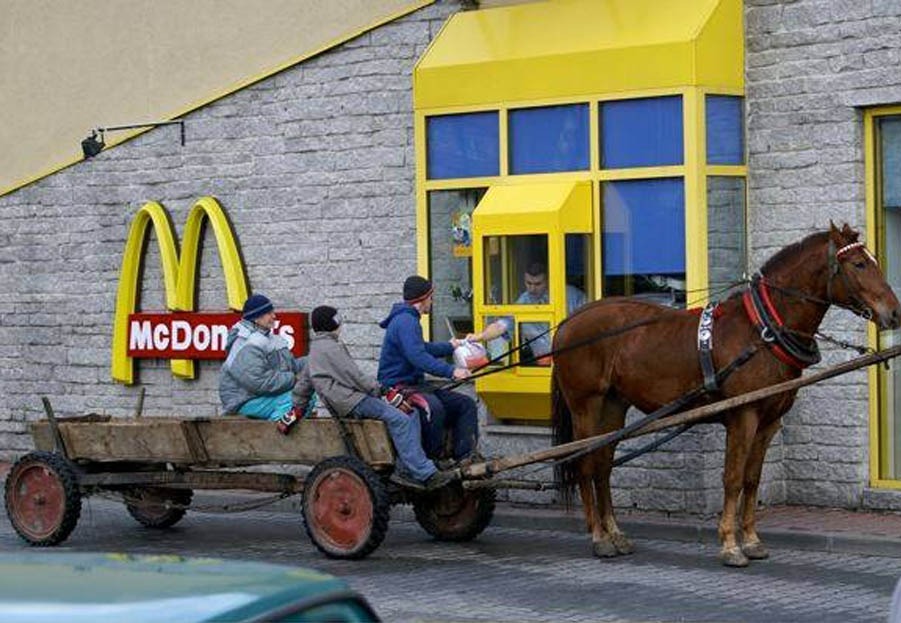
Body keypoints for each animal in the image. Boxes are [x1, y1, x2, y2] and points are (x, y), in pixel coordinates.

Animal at [548, 223, 900, 564]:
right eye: (859, 263)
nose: (895, 312)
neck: (762, 331)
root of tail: (569, 320)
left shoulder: (769, 421)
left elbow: (752, 479)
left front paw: (752, 541)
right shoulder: (743, 416)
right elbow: (732, 478)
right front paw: (731, 545)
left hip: (613, 405)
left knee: (603, 464)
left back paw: (615, 533)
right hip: (585, 406)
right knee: (585, 464)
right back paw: (599, 537)